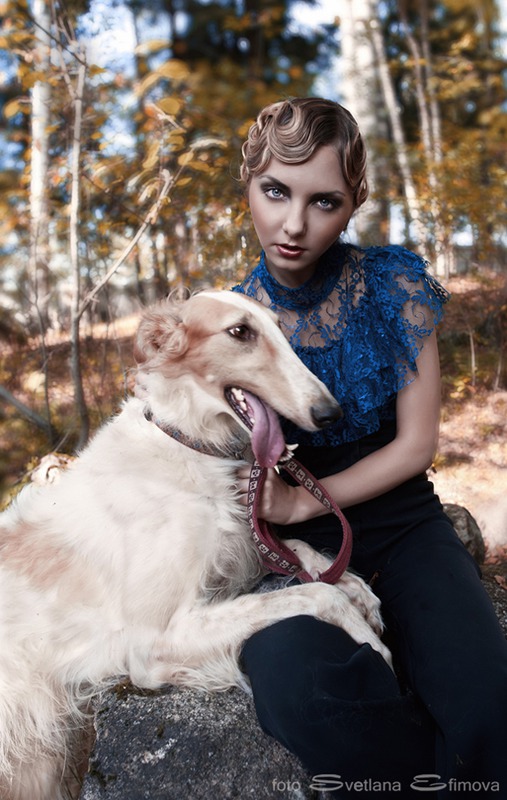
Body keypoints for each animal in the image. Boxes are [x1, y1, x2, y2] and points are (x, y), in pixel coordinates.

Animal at [0, 292, 388, 800]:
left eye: (280, 326)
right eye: (240, 332)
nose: (331, 413)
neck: (186, 445)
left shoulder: (236, 549)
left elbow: (297, 548)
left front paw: (358, 588)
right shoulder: (153, 644)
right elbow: (317, 592)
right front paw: (370, 644)